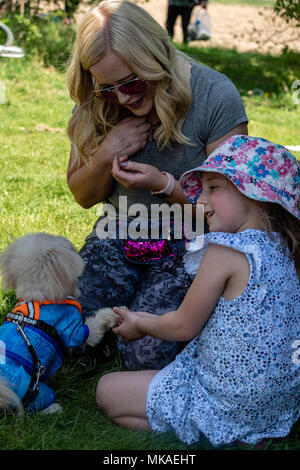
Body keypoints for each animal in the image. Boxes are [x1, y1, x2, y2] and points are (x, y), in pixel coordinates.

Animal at [0, 233, 119, 414]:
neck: (38, 296)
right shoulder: (73, 331)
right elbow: (94, 327)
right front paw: (112, 314)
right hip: (30, 387)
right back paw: (53, 409)